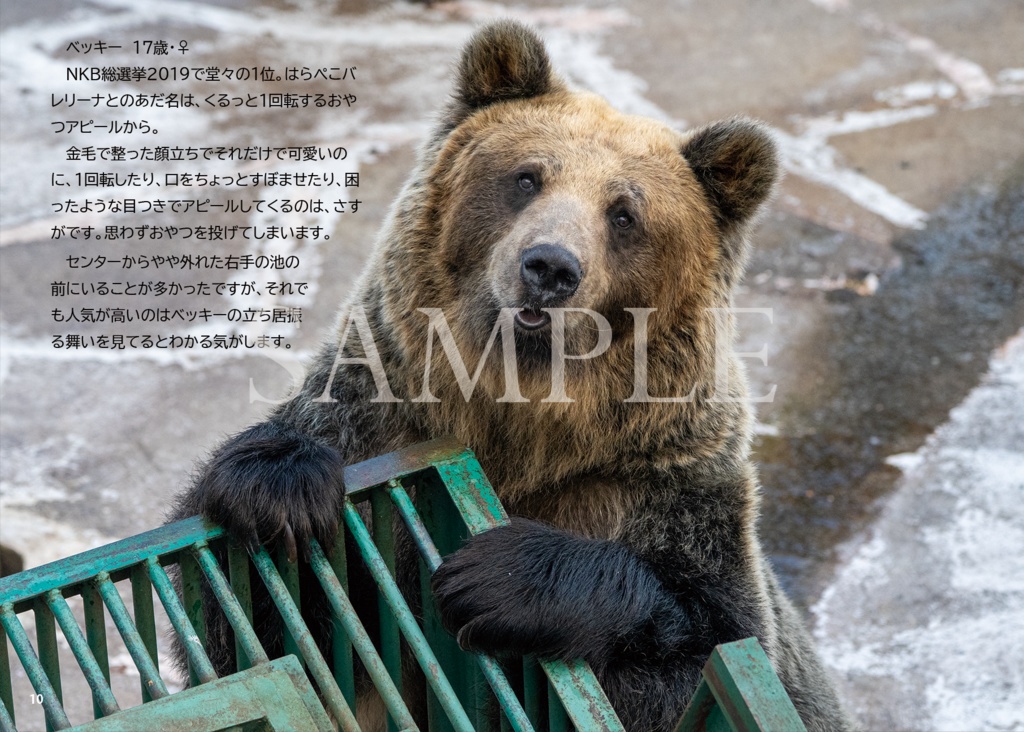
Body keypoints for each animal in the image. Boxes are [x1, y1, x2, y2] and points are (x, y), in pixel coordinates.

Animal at [171, 19, 852, 732]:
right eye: (527, 177)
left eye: (624, 214)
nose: (549, 266)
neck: (519, 419)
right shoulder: (377, 423)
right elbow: (273, 639)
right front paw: (280, 489)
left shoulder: (659, 491)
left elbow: (705, 657)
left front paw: (496, 578)